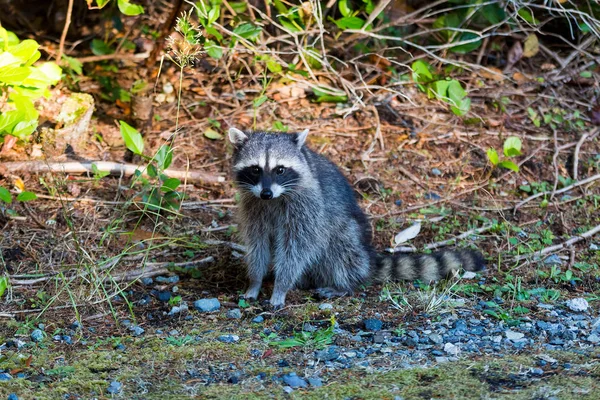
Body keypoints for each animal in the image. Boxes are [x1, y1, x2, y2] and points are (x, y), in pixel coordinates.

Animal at [227, 126, 486, 308]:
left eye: (280, 169)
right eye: (255, 169)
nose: (266, 193)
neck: (274, 198)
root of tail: (367, 258)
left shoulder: (307, 207)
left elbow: (298, 247)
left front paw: (280, 286)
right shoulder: (254, 206)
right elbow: (258, 243)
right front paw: (256, 281)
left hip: (347, 232)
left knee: (340, 248)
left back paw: (343, 284)